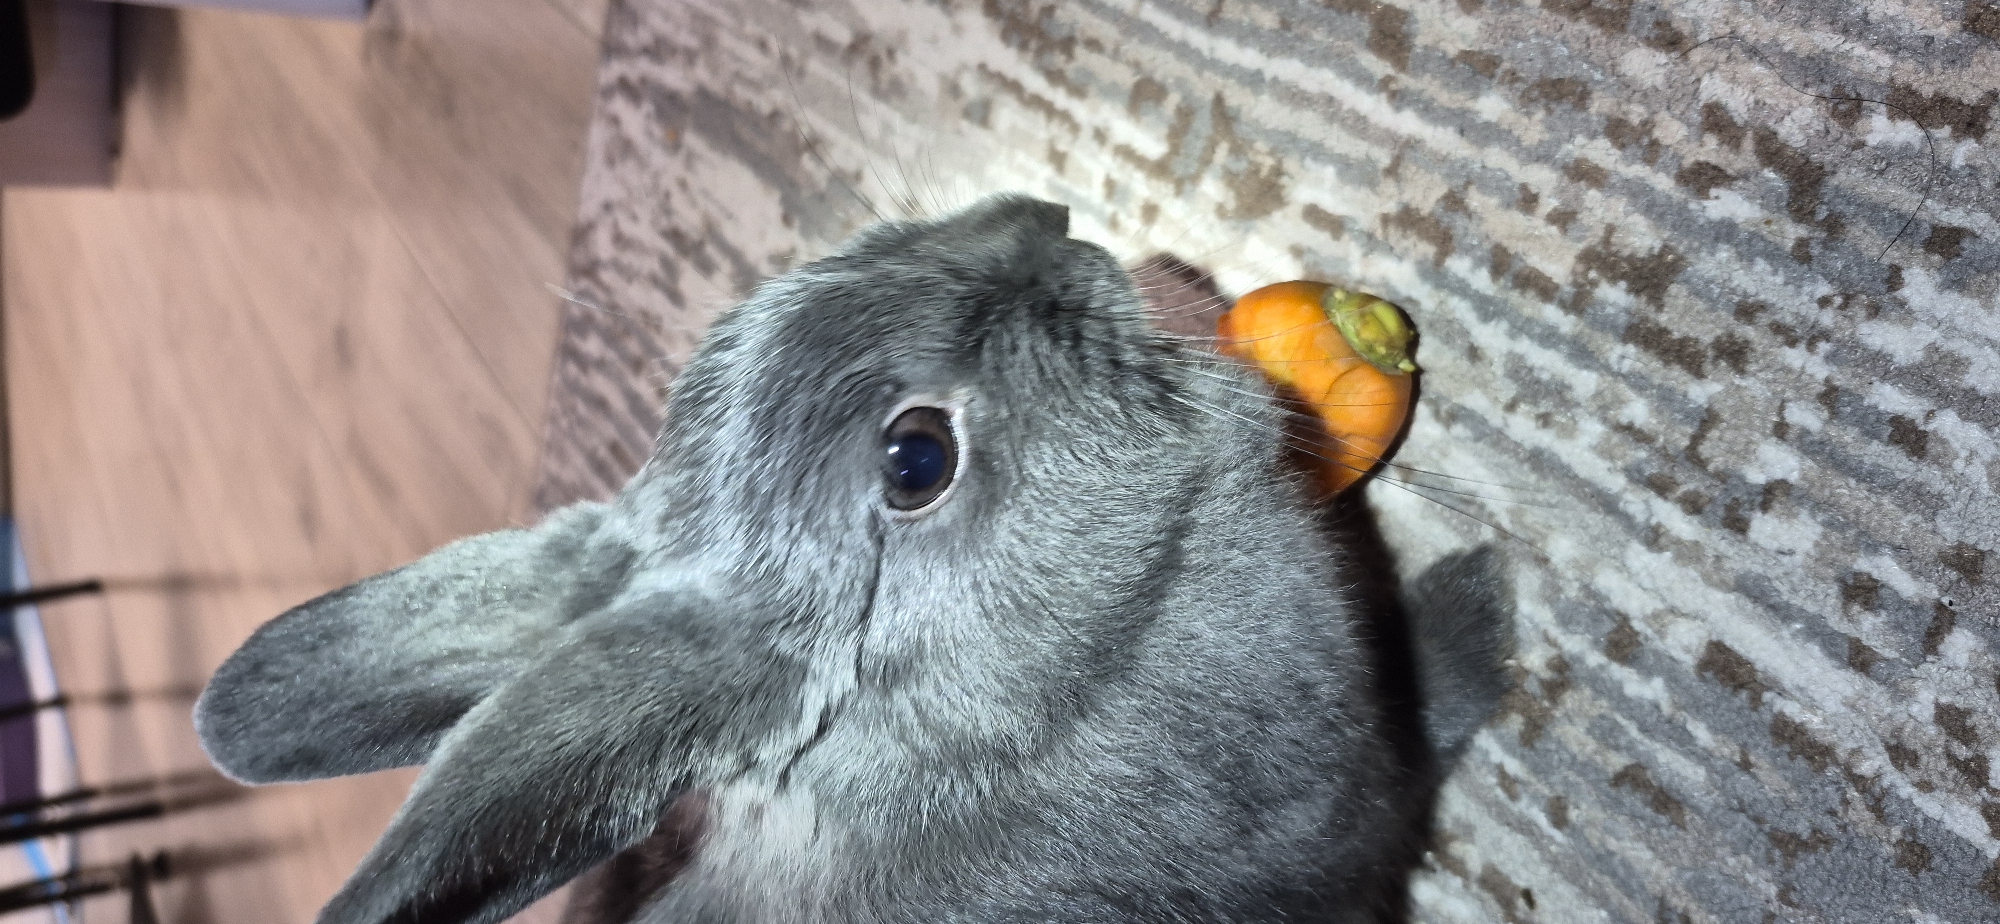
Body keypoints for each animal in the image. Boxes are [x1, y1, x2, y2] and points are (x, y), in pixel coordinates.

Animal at [193, 194, 1513, 924]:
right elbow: (1426, 735)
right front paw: (1485, 600)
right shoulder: (1358, 807)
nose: (1045, 222)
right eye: (915, 458)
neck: (1056, 689)